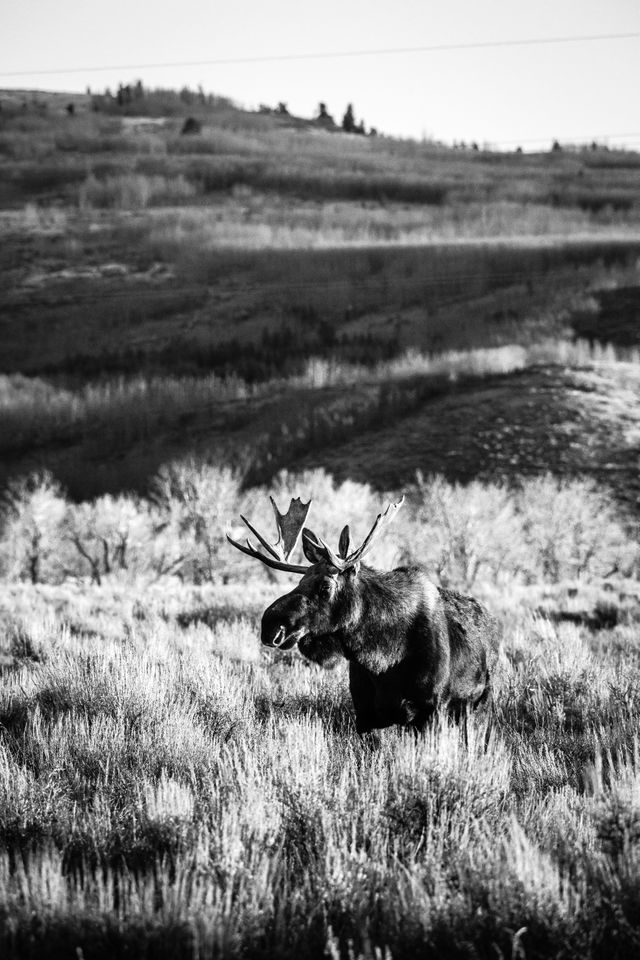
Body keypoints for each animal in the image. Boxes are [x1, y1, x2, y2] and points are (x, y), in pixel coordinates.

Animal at [226, 498, 500, 732]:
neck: (383, 657)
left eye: (325, 586)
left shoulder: (431, 712)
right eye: (301, 581)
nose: (271, 625)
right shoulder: (365, 715)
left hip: (480, 706)